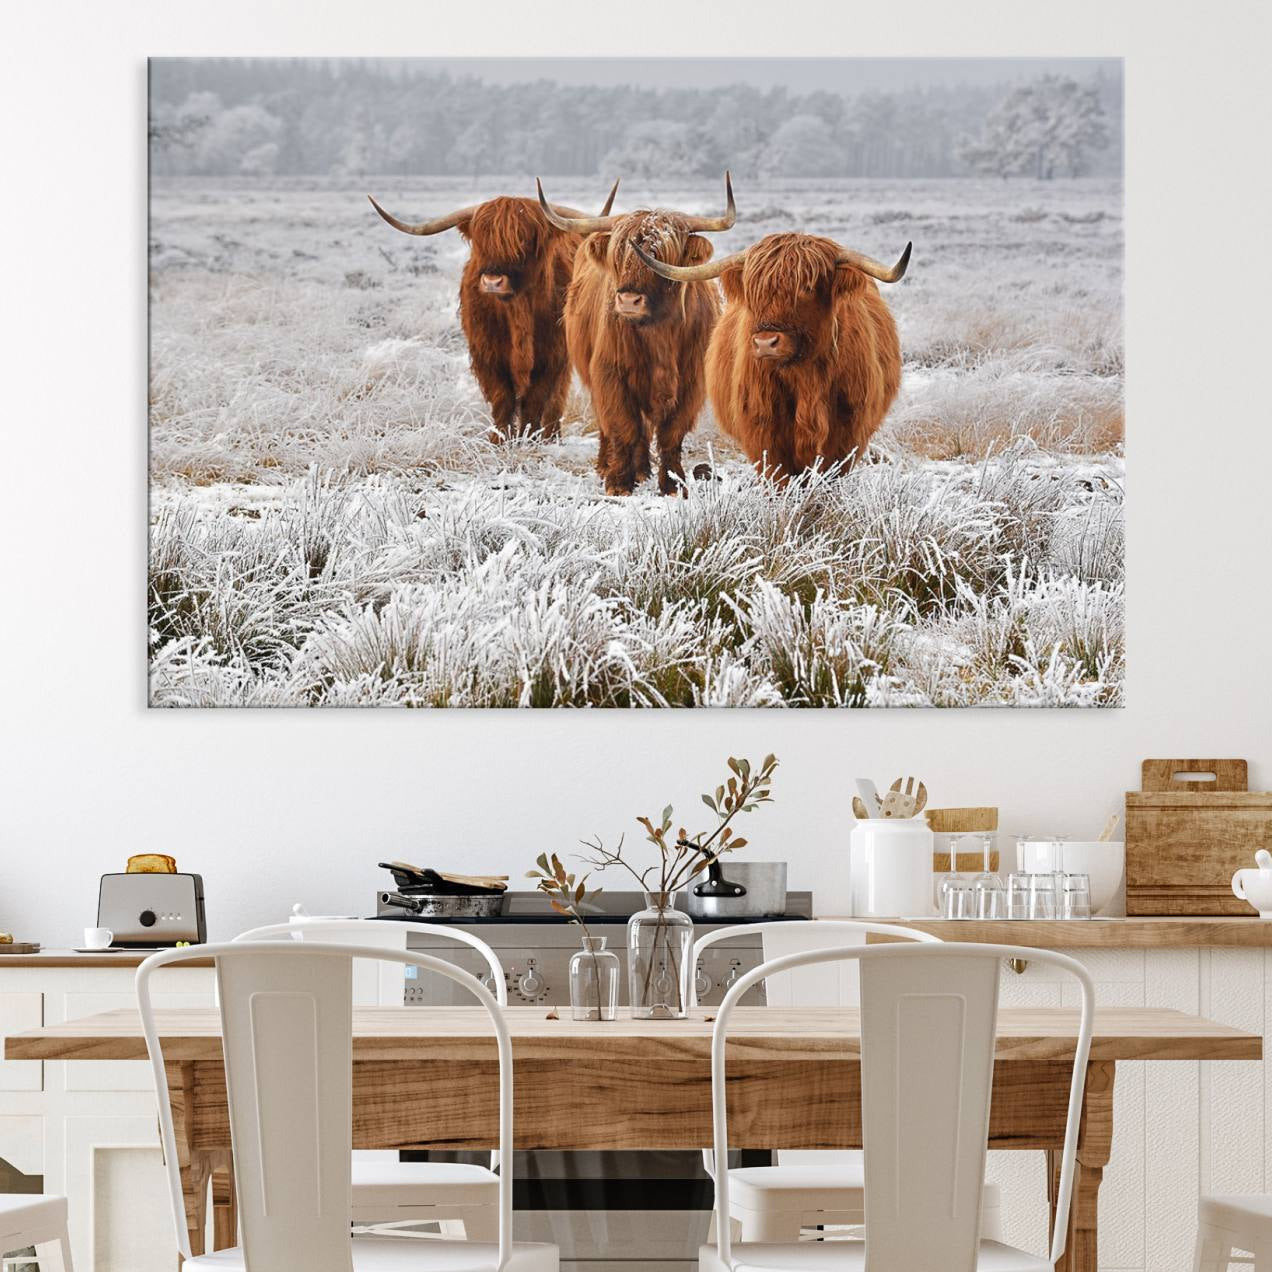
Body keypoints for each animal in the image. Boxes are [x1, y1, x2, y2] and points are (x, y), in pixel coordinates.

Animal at [368, 181, 619, 442]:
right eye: (481, 241)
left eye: (524, 239)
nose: (492, 281)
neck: (517, 311)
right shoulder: (487, 354)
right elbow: (502, 398)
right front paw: (499, 440)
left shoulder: (552, 355)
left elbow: (535, 399)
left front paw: (529, 438)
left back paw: (551, 436)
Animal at [536, 176, 736, 496]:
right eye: (618, 255)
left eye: (661, 256)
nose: (629, 300)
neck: (659, 334)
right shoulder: (610, 374)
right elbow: (623, 427)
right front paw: (618, 482)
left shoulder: (691, 383)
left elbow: (671, 434)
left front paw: (673, 484)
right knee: (614, 426)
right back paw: (610, 466)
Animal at [632, 233, 911, 478]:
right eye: (753, 290)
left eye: (807, 287)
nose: (766, 343)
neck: (805, 378)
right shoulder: (763, 433)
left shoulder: (847, 433)